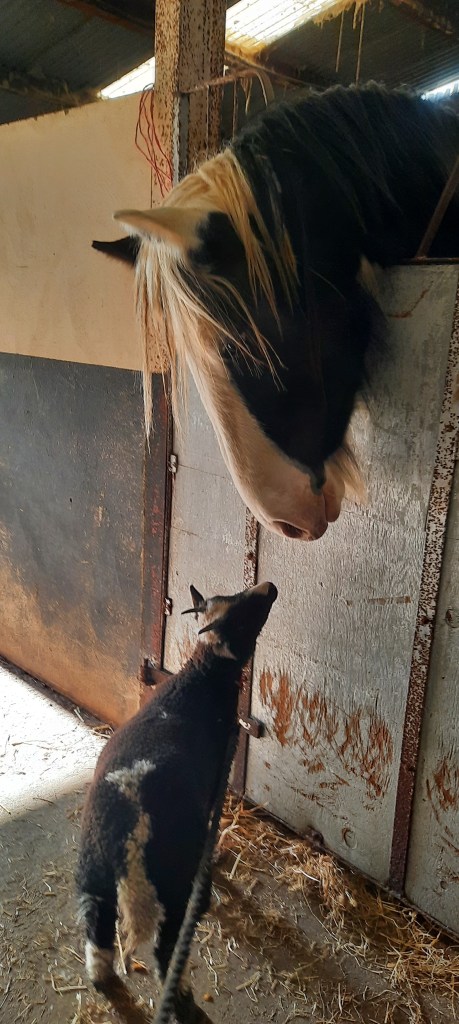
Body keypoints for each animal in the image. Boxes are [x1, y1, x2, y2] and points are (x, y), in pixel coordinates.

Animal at [76, 580, 277, 1022]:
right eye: (243, 615)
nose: (270, 587)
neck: (201, 677)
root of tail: (127, 836)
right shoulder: (215, 785)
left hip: (92, 878)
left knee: (98, 940)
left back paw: (103, 980)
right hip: (168, 886)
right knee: (165, 951)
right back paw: (183, 998)